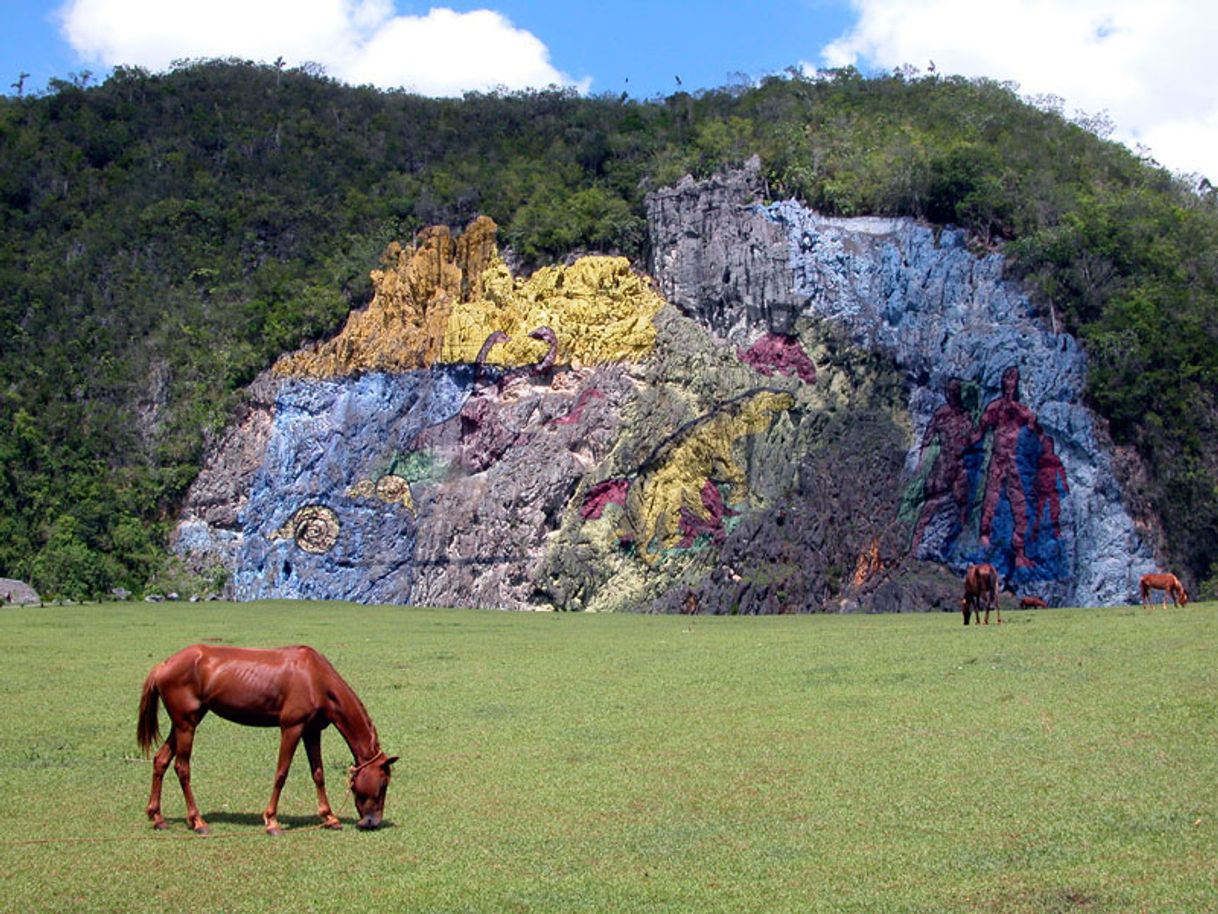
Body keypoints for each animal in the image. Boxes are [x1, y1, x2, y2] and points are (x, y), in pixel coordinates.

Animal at [138, 643, 397, 838]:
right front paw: (272, 821)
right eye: (383, 783)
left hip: (185, 723)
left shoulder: (312, 731)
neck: (315, 678)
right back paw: (197, 821)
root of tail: (163, 666)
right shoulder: (291, 728)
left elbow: (318, 774)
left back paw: (157, 817)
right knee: (182, 768)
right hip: (186, 725)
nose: (372, 822)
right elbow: (281, 773)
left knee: (161, 760)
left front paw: (330, 817)